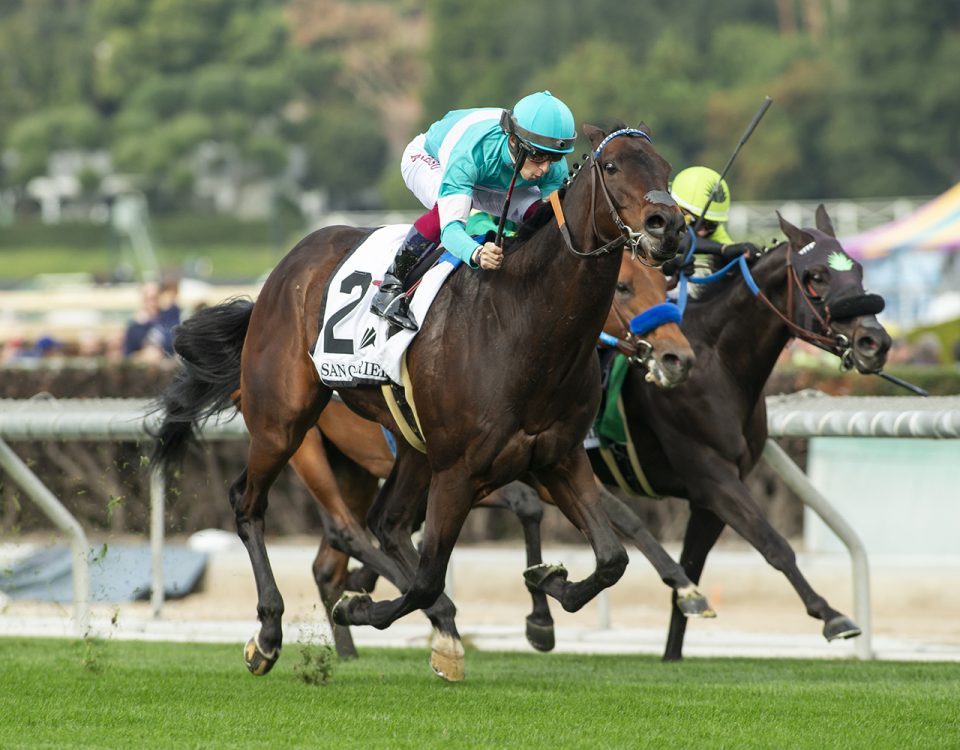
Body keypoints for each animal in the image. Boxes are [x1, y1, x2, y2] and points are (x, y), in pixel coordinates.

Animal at [156, 123, 696, 680]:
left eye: (664, 169)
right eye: (611, 166)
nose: (670, 226)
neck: (522, 322)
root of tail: (280, 273)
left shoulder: (557, 458)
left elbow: (612, 557)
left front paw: (549, 585)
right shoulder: (461, 470)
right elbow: (426, 578)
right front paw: (367, 609)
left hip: (405, 451)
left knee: (383, 524)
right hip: (283, 423)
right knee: (255, 503)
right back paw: (268, 634)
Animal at [608, 209, 892, 660]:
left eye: (859, 270)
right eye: (815, 276)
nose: (874, 342)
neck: (716, 363)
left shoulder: (711, 496)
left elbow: (692, 570)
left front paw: (673, 651)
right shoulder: (713, 477)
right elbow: (774, 544)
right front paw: (832, 616)